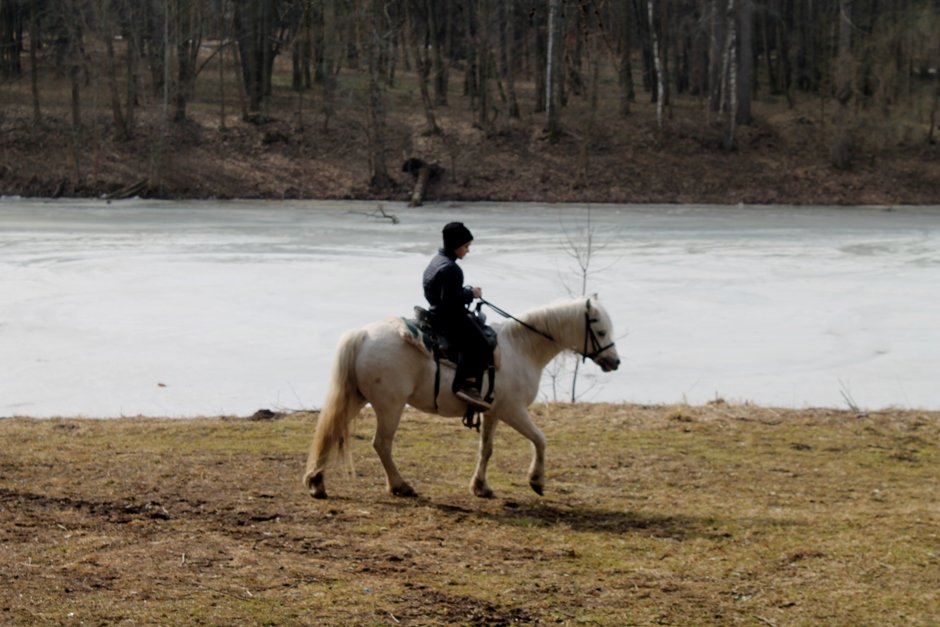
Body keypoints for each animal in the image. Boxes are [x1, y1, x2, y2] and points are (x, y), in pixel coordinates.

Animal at [304, 296, 620, 500]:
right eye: (601, 330)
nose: (615, 362)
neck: (521, 348)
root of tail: (363, 335)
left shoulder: (492, 412)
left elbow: (486, 449)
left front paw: (480, 487)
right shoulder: (513, 410)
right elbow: (540, 439)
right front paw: (536, 481)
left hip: (357, 398)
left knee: (331, 431)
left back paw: (316, 482)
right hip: (389, 406)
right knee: (381, 444)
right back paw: (400, 486)